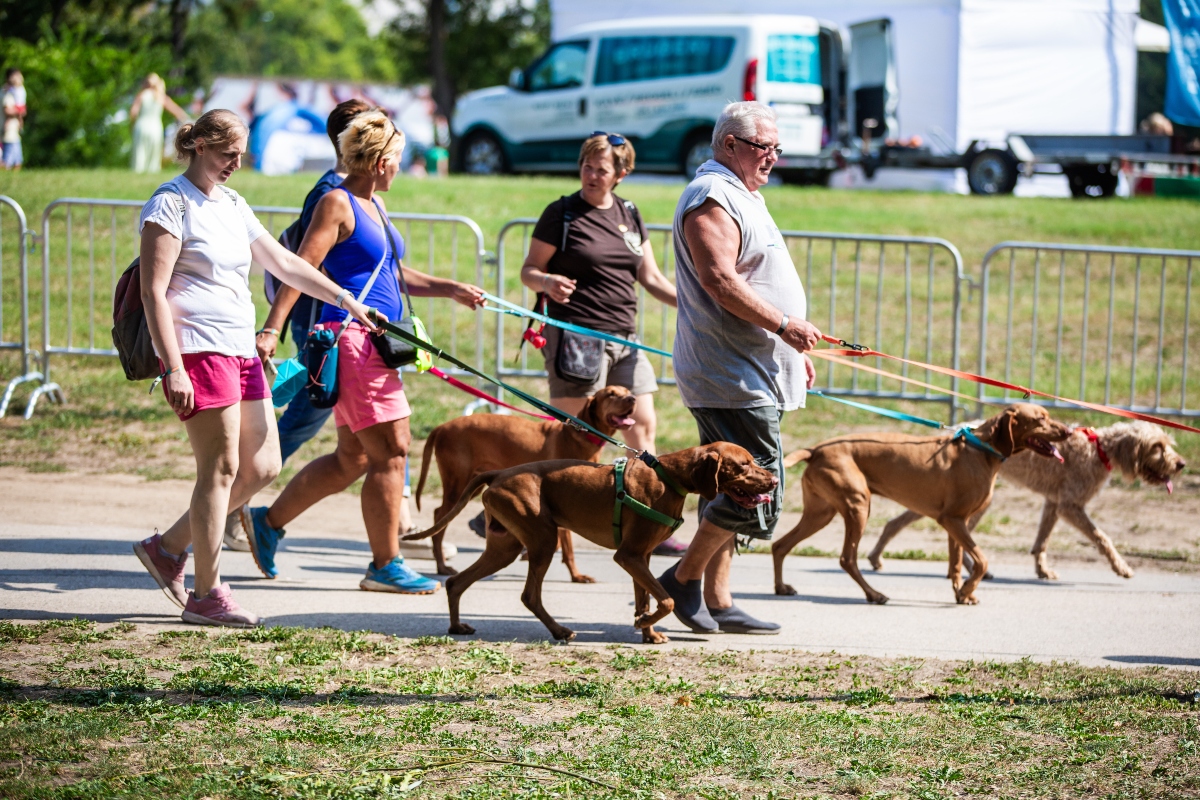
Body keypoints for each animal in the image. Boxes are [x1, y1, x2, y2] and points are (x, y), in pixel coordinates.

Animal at [412, 383, 638, 578]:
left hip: (471, 484)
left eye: (627, 391)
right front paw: (574, 575)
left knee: (439, 515)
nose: (633, 398)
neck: (579, 436)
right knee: (439, 517)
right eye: (610, 394)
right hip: (457, 485)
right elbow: (566, 545)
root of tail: (442, 426)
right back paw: (441, 566)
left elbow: (562, 543)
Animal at [768, 407, 1070, 606]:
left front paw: (963, 593)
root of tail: (816, 449)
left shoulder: (956, 523)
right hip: (858, 506)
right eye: (1041, 418)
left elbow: (957, 564)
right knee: (847, 558)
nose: (1068, 431)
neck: (980, 450)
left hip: (821, 513)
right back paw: (873, 594)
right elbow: (982, 561)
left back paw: (781, 587)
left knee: (780, 545)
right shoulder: (952, 519)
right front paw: (966, 591)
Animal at [868, 419, 1185, 582]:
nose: (1181, 464)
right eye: (1157, 447)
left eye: (1168, 444)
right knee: (901, 523)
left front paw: (1042, 569)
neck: (1099, 449)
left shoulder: (1054, 504)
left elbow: (1041, 541)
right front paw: (1121, 567)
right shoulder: (1070, 505)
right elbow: (1102, 537)